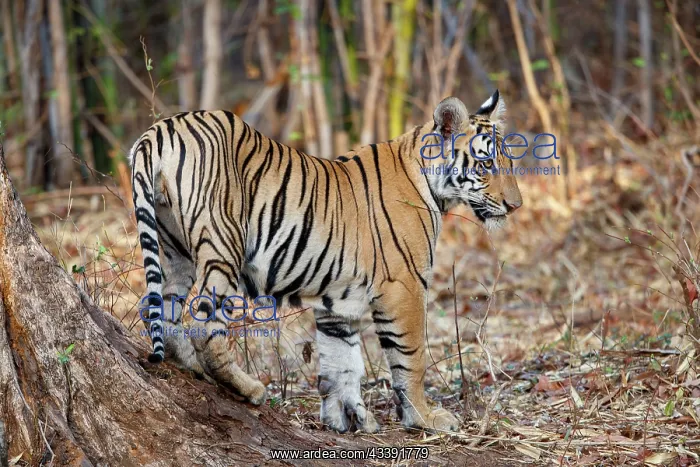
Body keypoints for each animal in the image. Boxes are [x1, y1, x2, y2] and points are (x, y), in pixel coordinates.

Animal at [129, 89, 522, 433]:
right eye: (486, 164)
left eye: (509, 162)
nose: (515, 206)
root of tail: (161, 129)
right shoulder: (404, 287)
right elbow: (410, 359)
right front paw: (424, 418)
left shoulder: (338, 300)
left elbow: (342, 363)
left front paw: (346, 419)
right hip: (223, 242)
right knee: (204, 321)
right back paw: (249, 388)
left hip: (175, 248)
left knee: (159, 305)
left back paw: (189, 364)